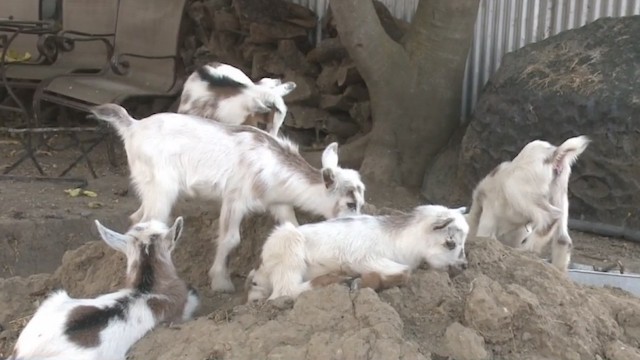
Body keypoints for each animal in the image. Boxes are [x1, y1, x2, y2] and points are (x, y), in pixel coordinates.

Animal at [90, 103, 364, 292]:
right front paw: (221, 281)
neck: (271, 166)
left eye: (361, 201)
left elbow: (293, 225)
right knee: (146, 220)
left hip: (148, 187)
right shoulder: (235, 197)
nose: (357, 221)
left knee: (136, 216)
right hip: (161, 187)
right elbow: (231, 239)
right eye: (350, 203)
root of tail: (132, 126)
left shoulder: (277, 201)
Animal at [246, 204, 470, 302]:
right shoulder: (363, 257)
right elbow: (405, 272)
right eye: (450, 243)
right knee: (284, 292)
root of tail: (259, 270)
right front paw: (358, 283)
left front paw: (361, 282)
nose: (464, 266)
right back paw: (337, 279)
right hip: (287, 246)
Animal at [464, 135, 592, 270]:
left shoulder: (488, 219)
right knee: (563, 239)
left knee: (550, 218)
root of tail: (553, 154)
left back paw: (526, 251)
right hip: (559, 194)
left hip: (518, 190)